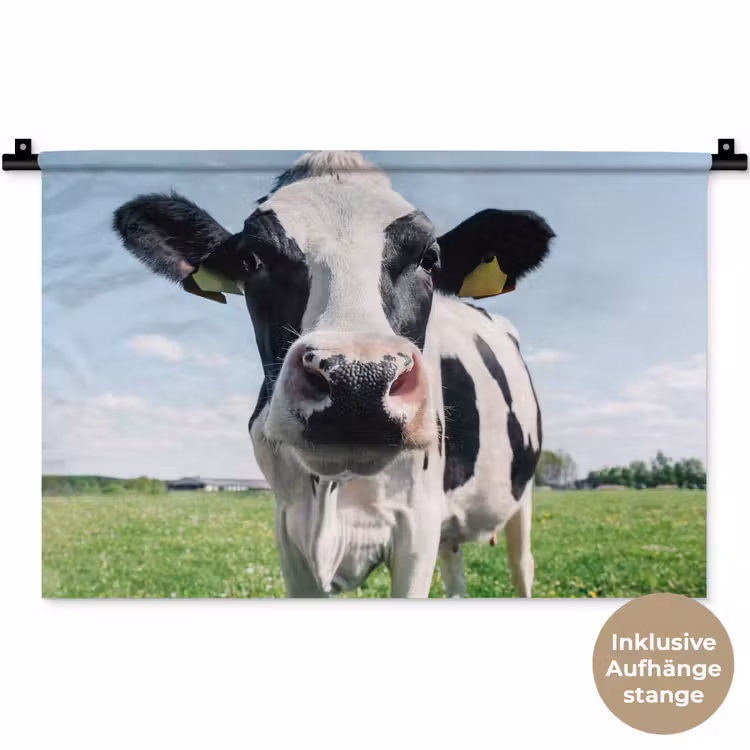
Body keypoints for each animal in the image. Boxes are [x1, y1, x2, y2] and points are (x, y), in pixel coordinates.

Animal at [113, 151, 553, 598]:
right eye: (251, 260)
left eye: (429, 259)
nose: (358, 382)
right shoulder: (289, 528)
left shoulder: (418, 524)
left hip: (522, 497)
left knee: (523, 565)